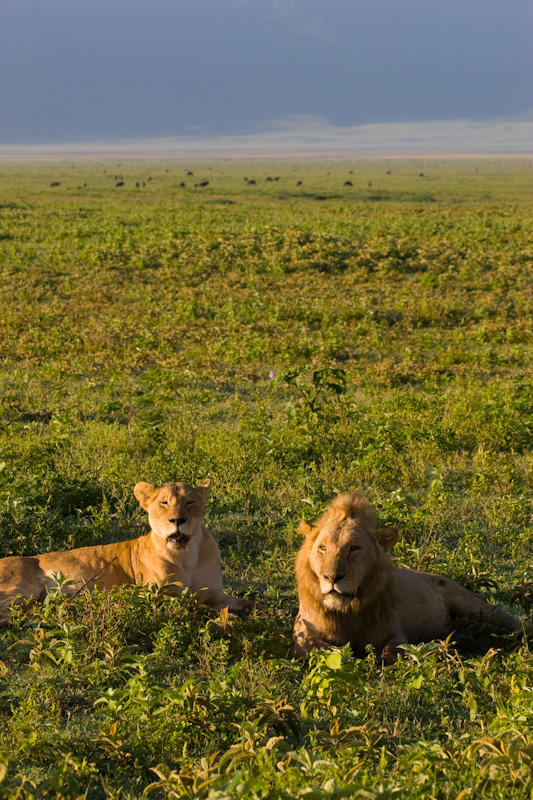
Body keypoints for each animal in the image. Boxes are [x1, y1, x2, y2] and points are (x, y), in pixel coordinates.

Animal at [0, 478, 258, 620]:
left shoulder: (218, 595)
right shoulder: (153, 597)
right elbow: (198, 606)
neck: (187, 556)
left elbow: (250, 603)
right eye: (164, 502)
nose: (177, 520)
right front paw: (230, 619)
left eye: (190, 502)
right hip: (19, 592)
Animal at [288, 494, 520, 664]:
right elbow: (324, 650)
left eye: (354, 548)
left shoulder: (394, 631)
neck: (348, 612)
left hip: (478, 607)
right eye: (322, 548)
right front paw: (352, 659)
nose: (332, 577)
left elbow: (394, 651)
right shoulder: (302, 637)